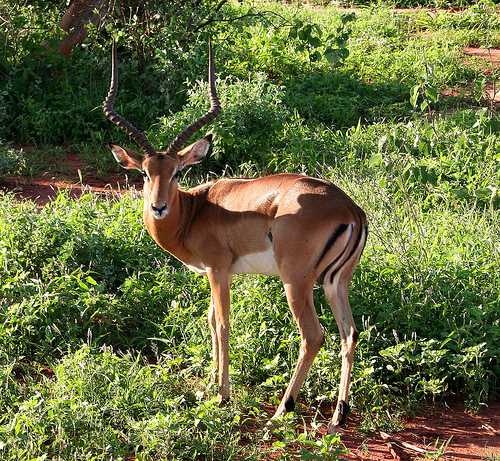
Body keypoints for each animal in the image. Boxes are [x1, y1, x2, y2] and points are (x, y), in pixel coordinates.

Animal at [102, 40, 368, 432]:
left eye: (177, 172)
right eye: (146, 173)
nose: (158, 207)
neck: (196, 211)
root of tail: (350, 209)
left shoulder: (218, 270)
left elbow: (224, 324)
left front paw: (222, 395)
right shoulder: (213, 274)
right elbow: (211, 321)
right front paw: (210, 383)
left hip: (296, 281)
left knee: (313, 336)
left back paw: (281, 410)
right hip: (336, 282)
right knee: (349, 333)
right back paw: (338, 413)